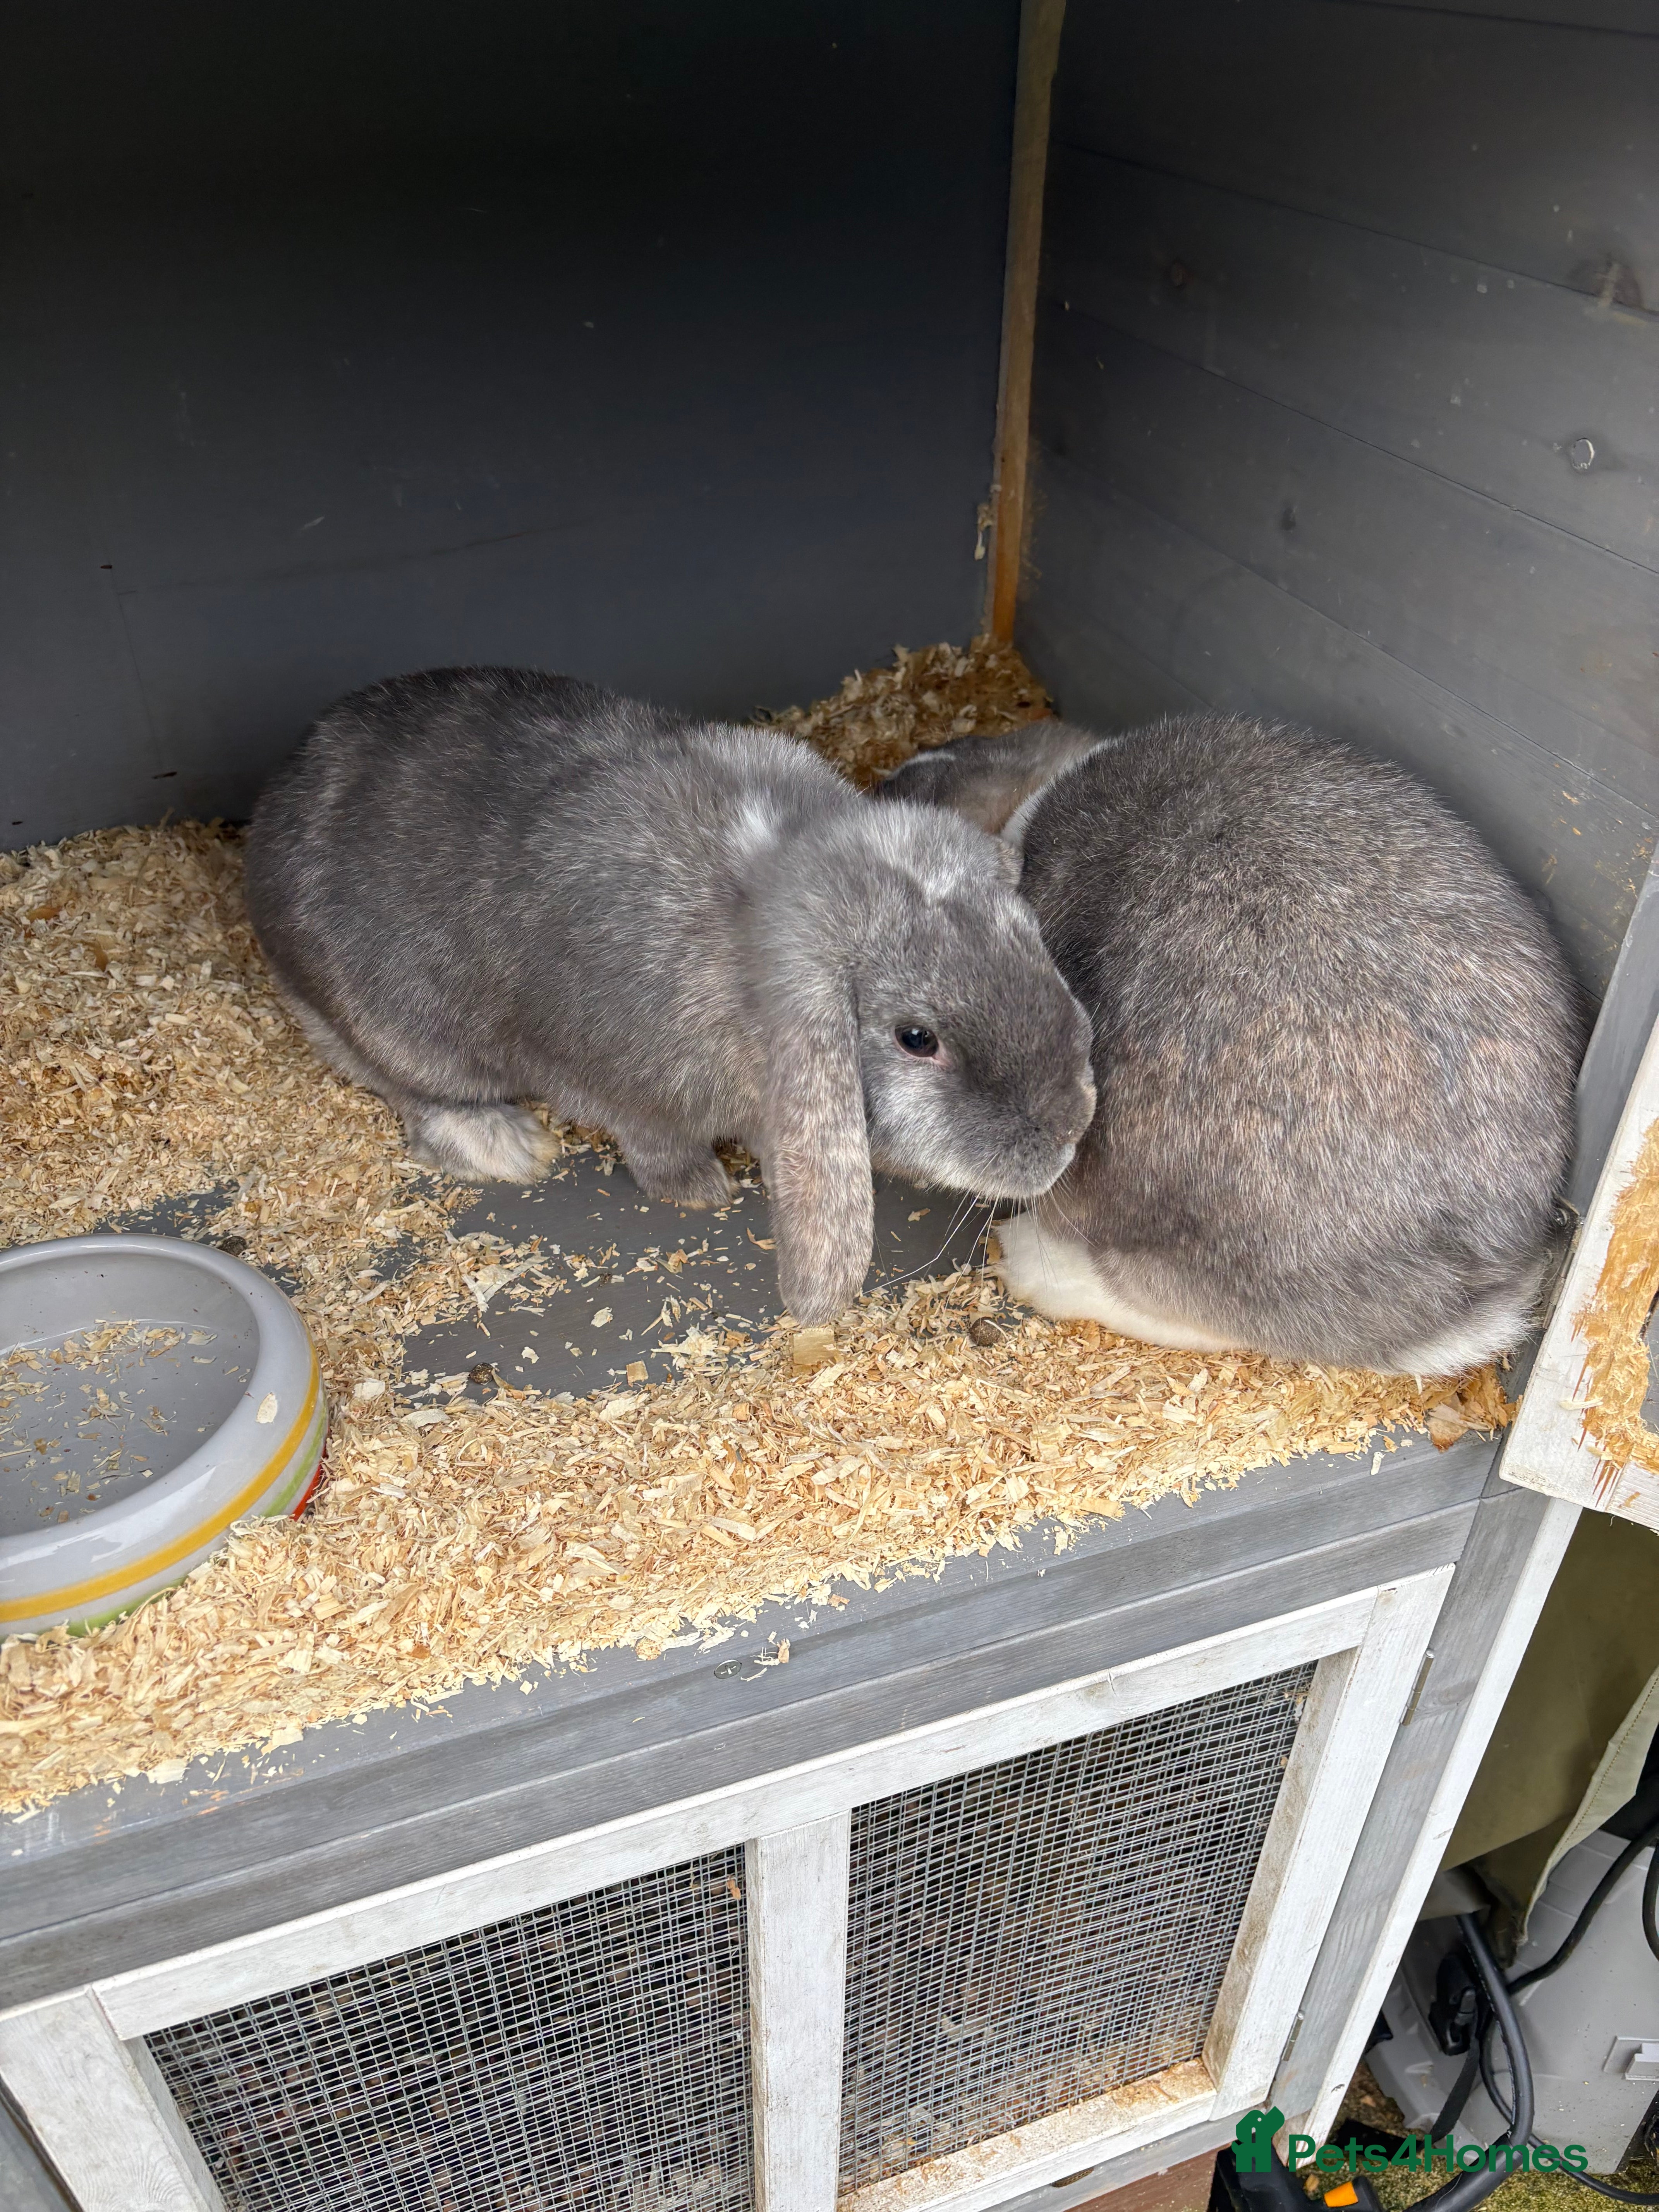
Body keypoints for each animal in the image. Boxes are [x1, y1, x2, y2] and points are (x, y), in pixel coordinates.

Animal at [244, 666, 1097, 1328]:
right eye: (916, 1038)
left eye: (1028, 935)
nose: (1067, 1134)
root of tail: (272, 808)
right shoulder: (624, 1090)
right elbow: (656, 1145)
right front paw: (702, 1193)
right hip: (389, 1028)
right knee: (404, 1088)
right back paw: (505, 1144)